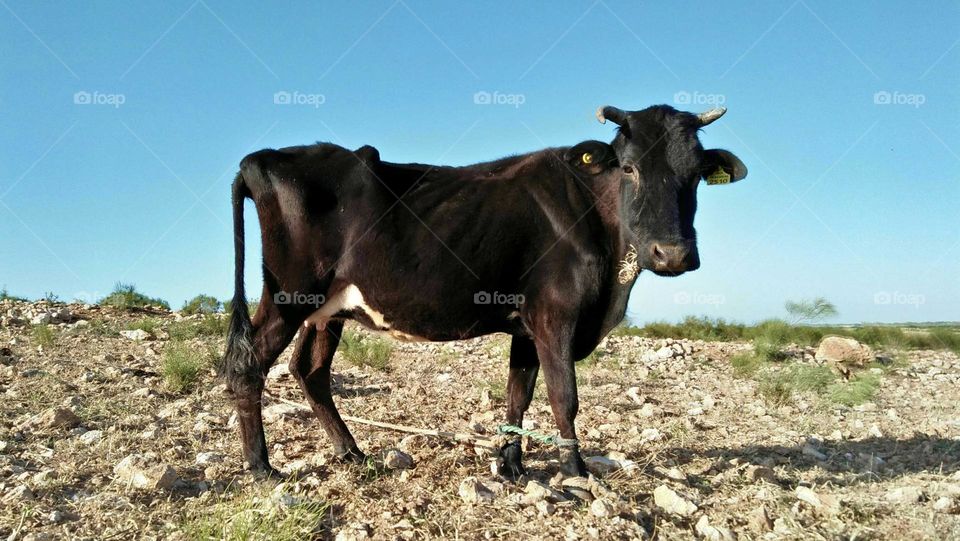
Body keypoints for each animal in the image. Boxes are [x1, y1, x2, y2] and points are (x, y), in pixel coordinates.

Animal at [220, 104, 748, 479]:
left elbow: (520, 392)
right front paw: (576, 472)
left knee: (309, 371)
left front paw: (512, 465)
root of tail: (263, 158)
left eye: (696, 173)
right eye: (630, 168)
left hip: (327, 309)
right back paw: (262, 468)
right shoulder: (556, 313)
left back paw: (353, 453)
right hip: (290, 294)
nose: (672, 254)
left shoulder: (527, 324)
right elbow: (564, 395)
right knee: (251, 364)